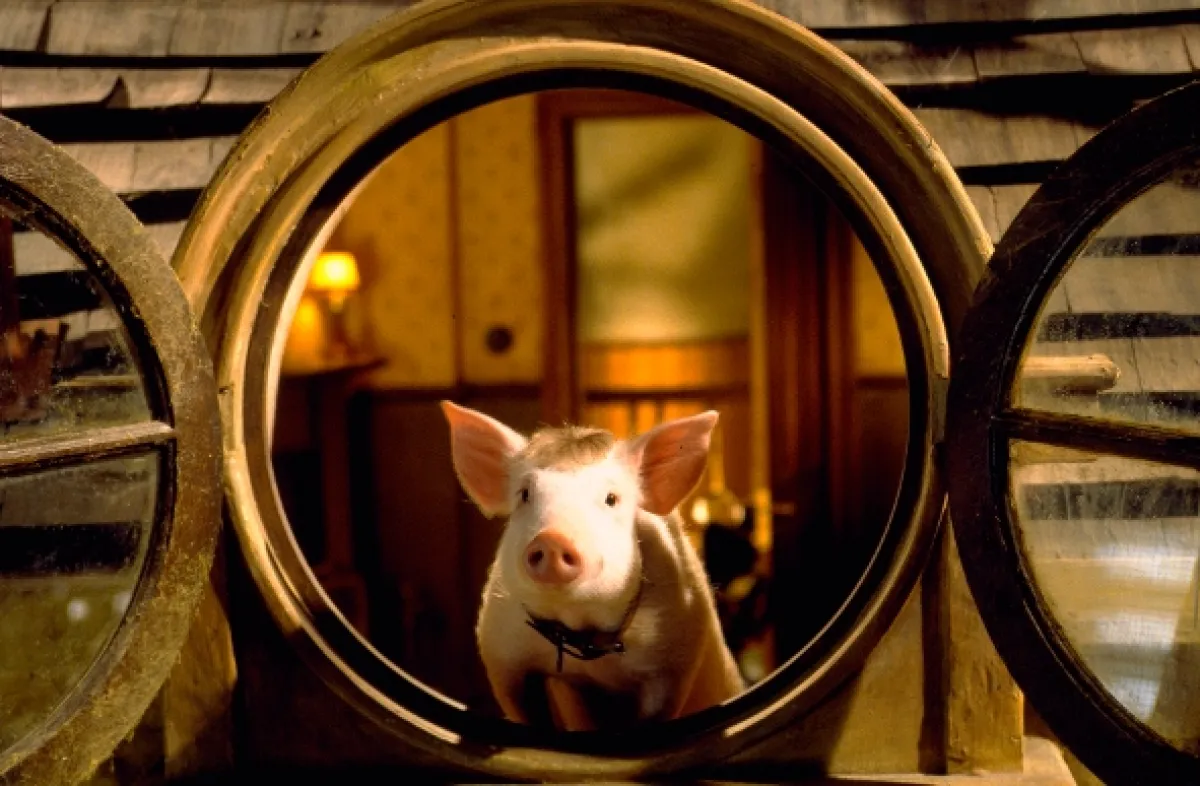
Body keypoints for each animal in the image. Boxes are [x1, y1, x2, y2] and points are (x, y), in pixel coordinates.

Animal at [440, 401, 745, 731]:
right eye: (524, 494)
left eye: (611, 498)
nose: (553, 538)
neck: (582, 635)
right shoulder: (501, 652)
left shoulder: (675, 659)